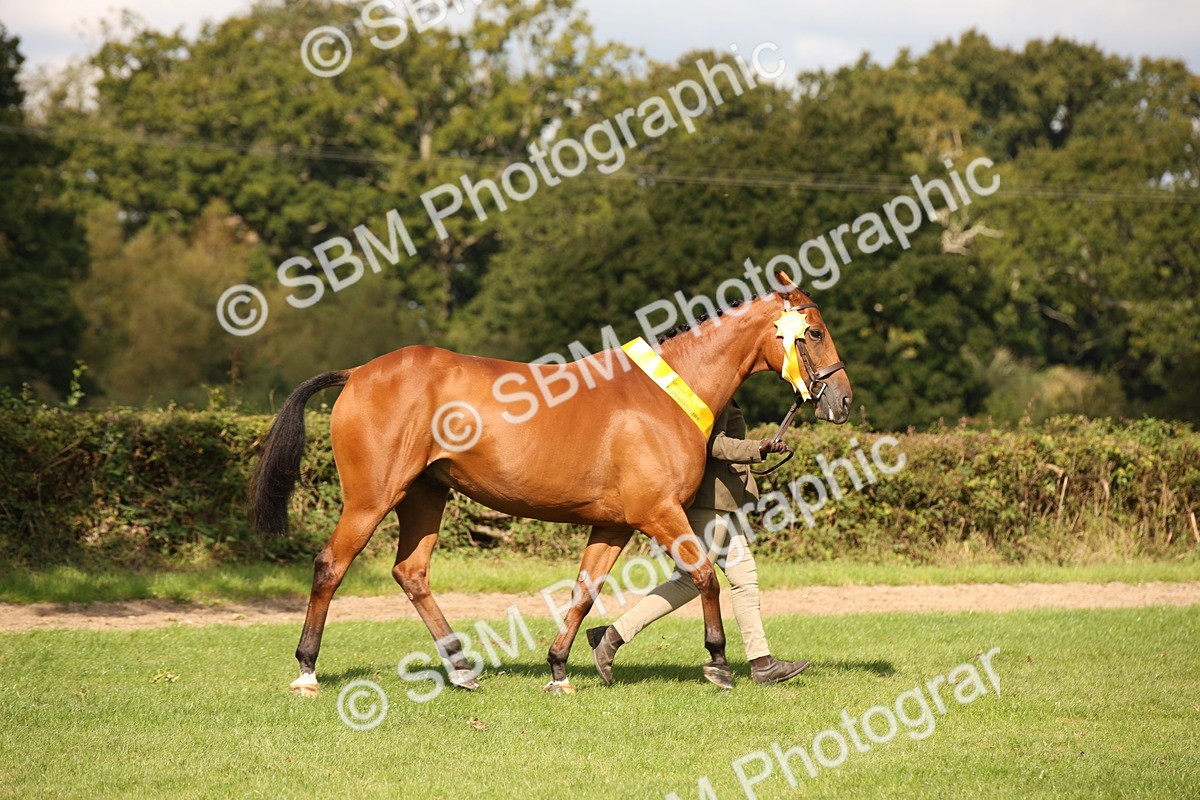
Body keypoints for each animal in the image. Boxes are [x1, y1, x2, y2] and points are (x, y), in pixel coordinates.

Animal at [250, 277, 852, 696]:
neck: (667, 394)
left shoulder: (613, 524)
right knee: (330, 566)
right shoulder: (658, 513)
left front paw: (561, 667)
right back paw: (307, 670)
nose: (843, 401)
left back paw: (462, 668)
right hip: (372, 499)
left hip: (426, 495)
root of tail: (357, 373)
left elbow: (585, 592)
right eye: (815, 333)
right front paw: (719, 663)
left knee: (411, 572)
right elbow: (705, 577)